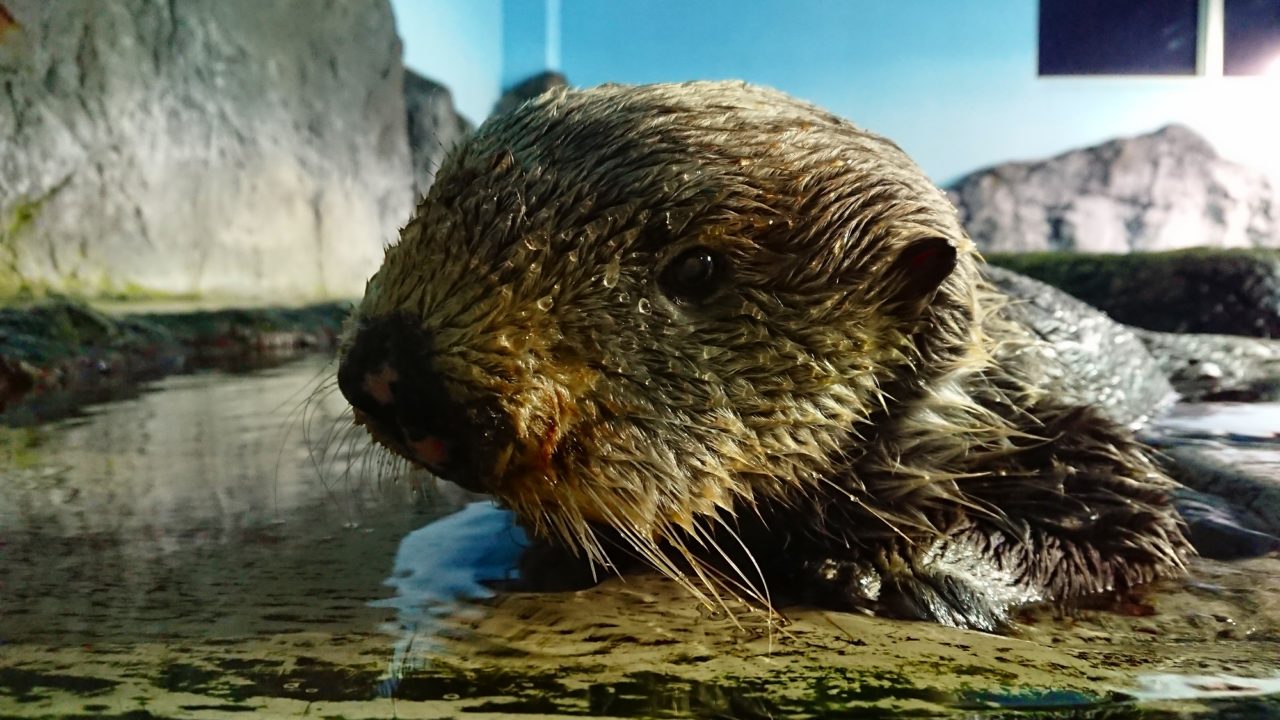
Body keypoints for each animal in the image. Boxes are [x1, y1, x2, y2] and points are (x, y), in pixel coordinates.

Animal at [337, 79, 1187, 627]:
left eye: (697, 269)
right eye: (440, 196)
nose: (393, 368)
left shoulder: (1061, 434)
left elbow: (1131, 527)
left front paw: (912, 575)